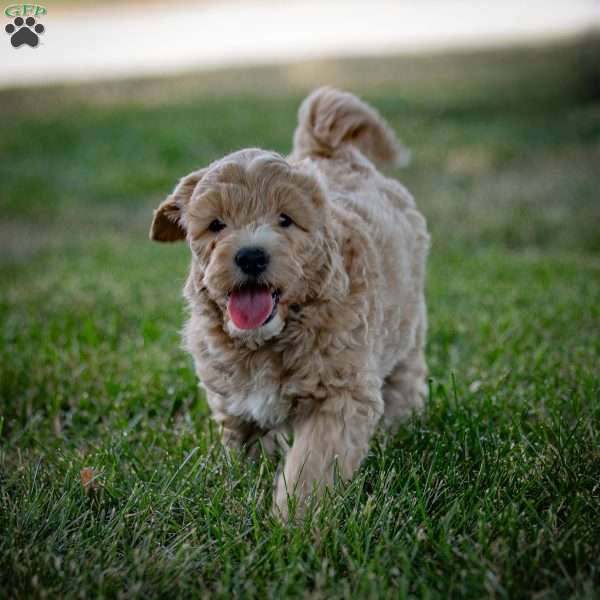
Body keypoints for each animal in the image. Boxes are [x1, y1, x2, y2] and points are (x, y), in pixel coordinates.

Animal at [151, 86, 432, 516]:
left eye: (285, 219)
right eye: (216, 225)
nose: (251, 256)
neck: (267, 339)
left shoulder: (340, 395)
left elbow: (311, 465)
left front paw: (292, 520)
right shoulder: (228, 387)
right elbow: (242, 434)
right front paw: (242, 480)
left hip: (407, 322)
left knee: (405, 377)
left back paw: (398, 428)